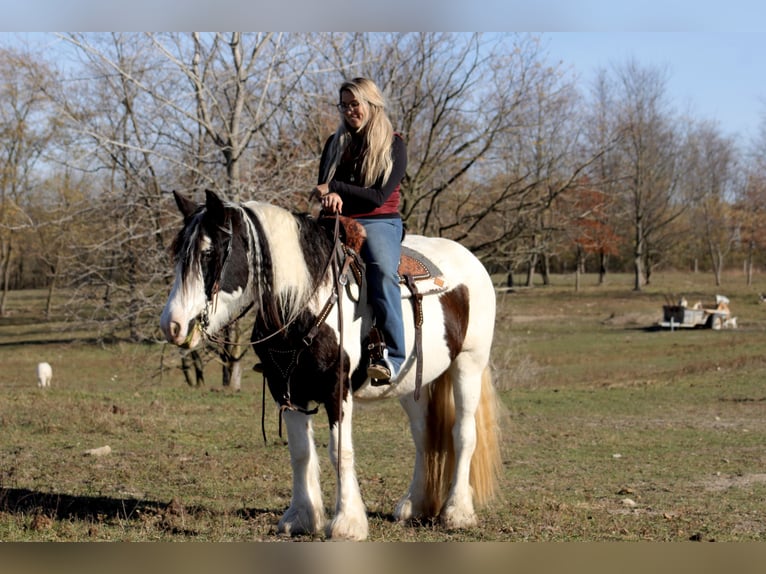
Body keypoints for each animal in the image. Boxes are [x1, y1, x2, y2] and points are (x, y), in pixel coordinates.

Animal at [160, 191, 508, 544]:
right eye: (178, 254)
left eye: (208, 253)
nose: (172, 325)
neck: (305, 302)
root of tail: (471, 261)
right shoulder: (286, 389)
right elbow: (301, 452)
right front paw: (301, 517)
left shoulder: (336, 388)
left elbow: (340, 451)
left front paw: (347, 523)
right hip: (413, 383)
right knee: (424, 435)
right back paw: (414, 505)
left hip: (468, 365)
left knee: (463, 434)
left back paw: (457, 512)